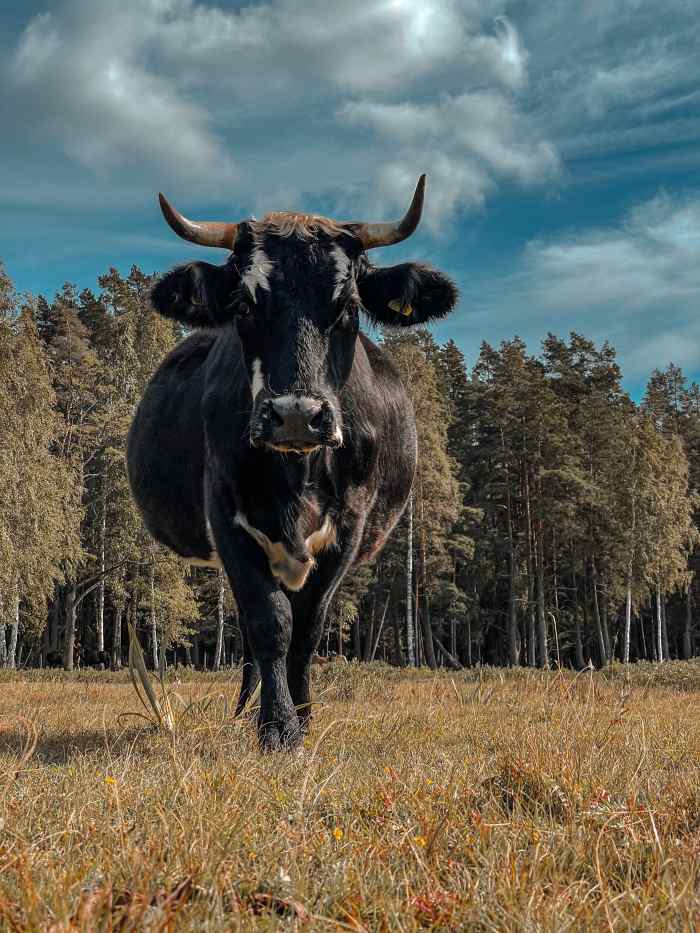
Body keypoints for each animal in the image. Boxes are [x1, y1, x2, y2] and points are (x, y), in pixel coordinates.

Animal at [127, 175, 458, 750]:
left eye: (348, 308)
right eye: (243, 306)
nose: (296, 415)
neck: (297, 473)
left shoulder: (350, 524)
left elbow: (306, 628)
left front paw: (302, 719)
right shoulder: (227, 518)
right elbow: (269, 624)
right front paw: (276, 727)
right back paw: (244, 709)